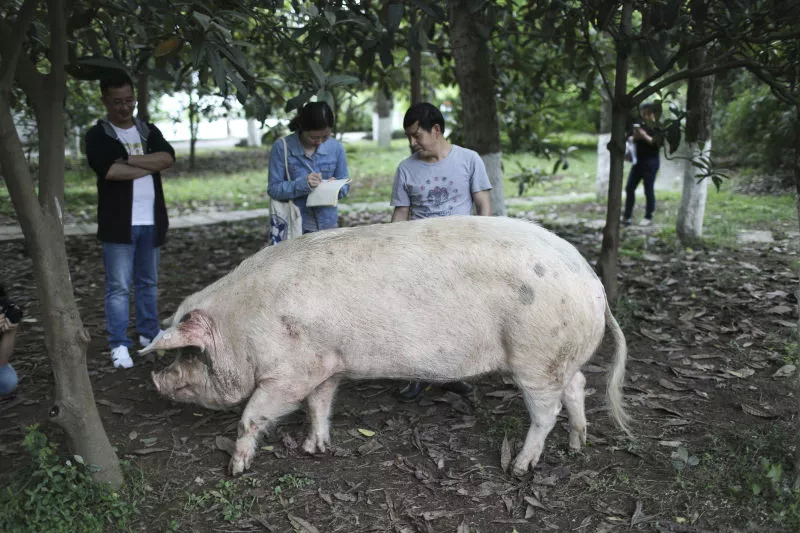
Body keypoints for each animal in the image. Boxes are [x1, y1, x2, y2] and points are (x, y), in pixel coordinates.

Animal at [144, 215, 632, 474]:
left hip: (535, 356)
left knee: (546, 411)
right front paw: (314, 449)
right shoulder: (326, 364)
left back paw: (518, 468)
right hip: (557, 357)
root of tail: (594, 284)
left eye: (189, 352)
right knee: (578, 386)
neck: (241, 324)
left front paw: (236, 469)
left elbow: (252, 415)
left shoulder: (289, 372)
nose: (155, 378)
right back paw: (577, 445)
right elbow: (320, 405)